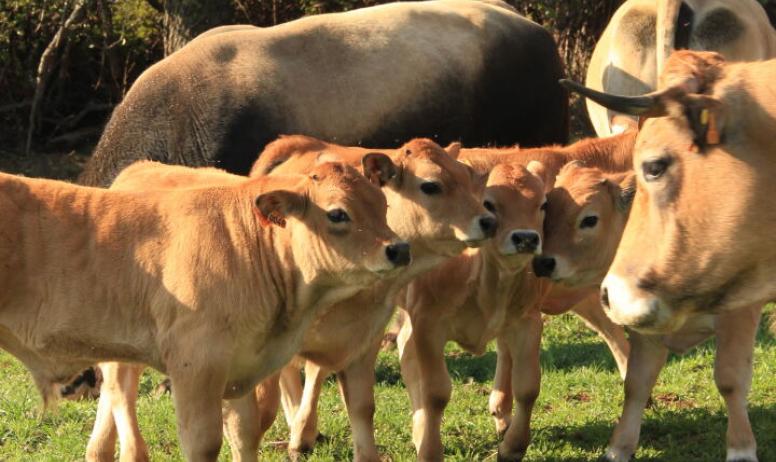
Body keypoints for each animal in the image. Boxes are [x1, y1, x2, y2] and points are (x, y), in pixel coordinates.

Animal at [1, 161, 406, 460]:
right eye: (337, 214)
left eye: (383, 205)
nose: (399, 248)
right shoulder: (197, 366)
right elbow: (204, 443)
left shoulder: (241, 367)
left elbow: (244, 434)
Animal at [564, 48, 776, 460]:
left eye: (654, 167)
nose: (609, 294)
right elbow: (637, 381)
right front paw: (619, 447)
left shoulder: (741, 311)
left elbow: (730, 378)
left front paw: (741, 447)